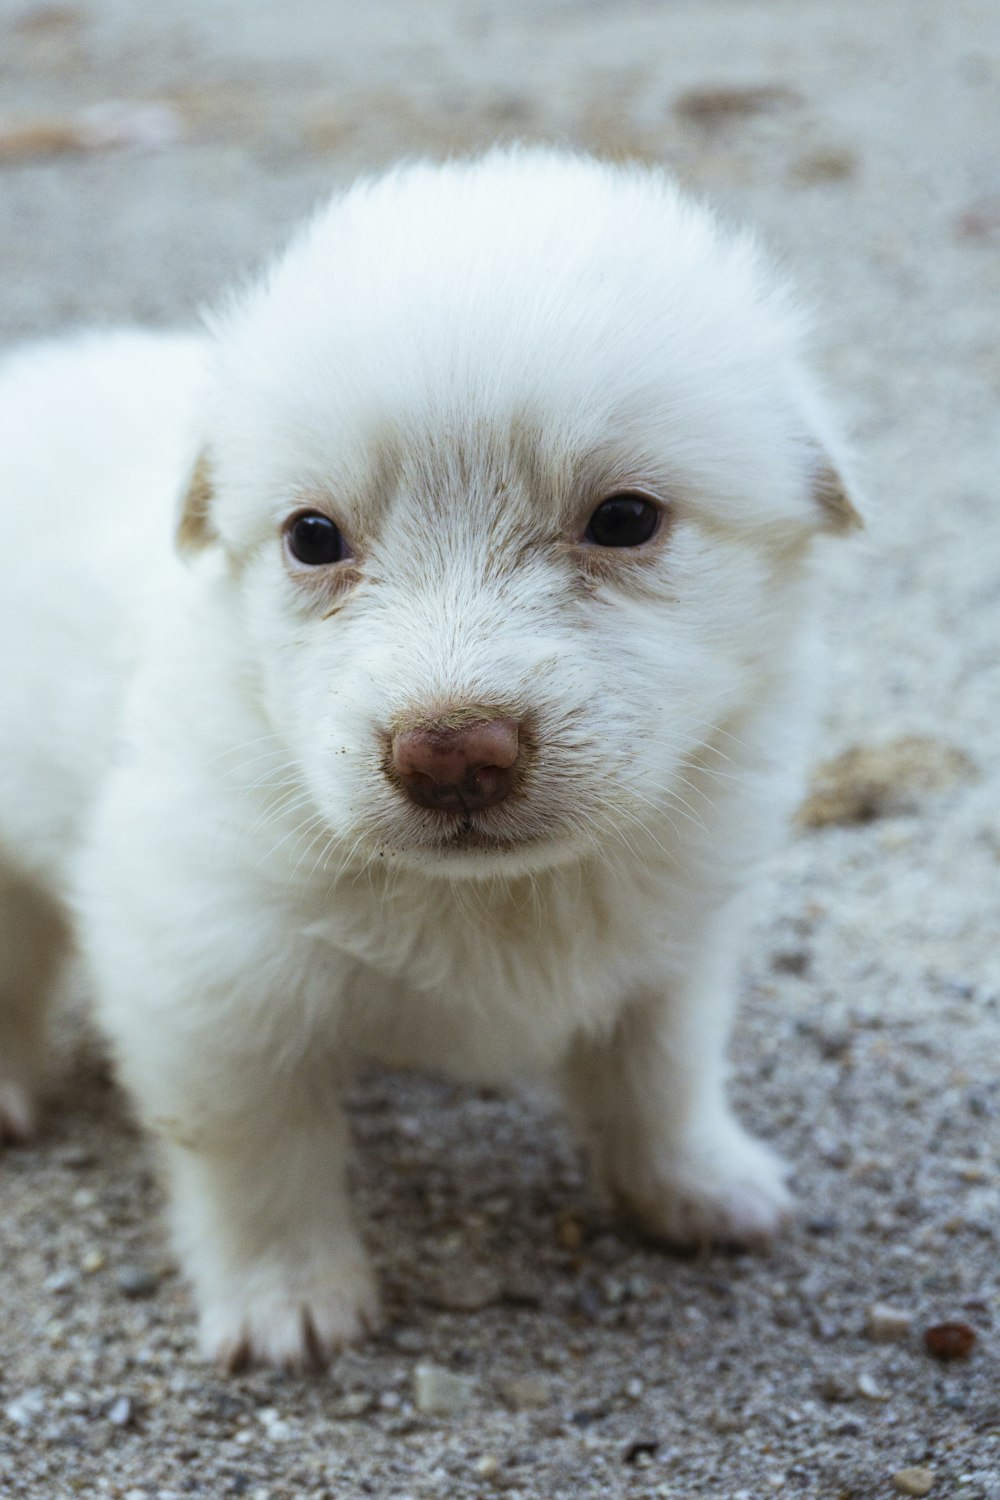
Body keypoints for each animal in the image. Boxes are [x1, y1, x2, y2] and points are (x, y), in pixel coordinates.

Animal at [0, 152, 863, 1374]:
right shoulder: (204, 970)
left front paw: (694, 1186)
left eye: (626, 518)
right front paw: (288, 1296)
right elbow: (256, 1154)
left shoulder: (676, 937)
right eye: (312, 537)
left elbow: (659, 1069)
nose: (450, 754)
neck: (493, 899)